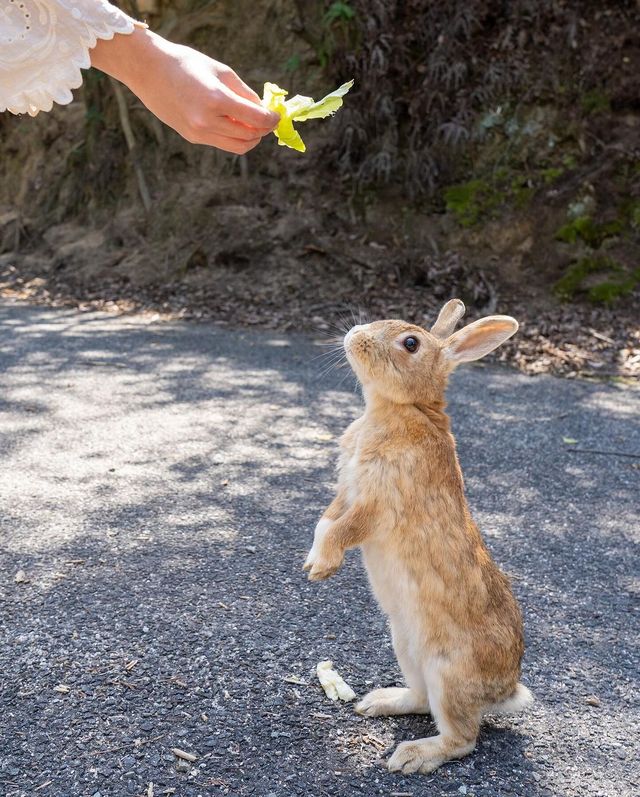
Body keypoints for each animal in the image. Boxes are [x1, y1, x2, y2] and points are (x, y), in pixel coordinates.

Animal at [302, 298, 532, 772]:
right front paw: (313, 563)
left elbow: (345, 528)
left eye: (411, 344)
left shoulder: (379, 503)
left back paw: (411, 757)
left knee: (462, 738)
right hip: (405, 646)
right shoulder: (346, 489)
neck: (401, 407)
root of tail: (506, 691)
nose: (355, 334)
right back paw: (378, 702)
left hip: (449, 673)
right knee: (422, 700)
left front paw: (323, 567)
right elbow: (325, 521)